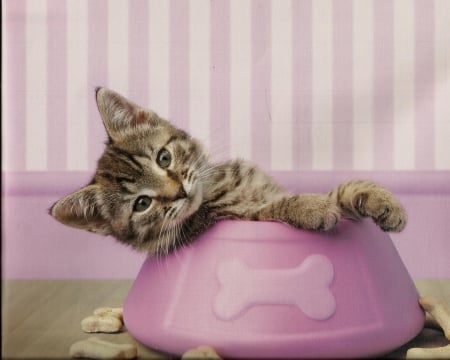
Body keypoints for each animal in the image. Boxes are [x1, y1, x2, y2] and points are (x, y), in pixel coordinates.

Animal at [50, 88, 408, 255]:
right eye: (142, 204)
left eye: (164, 158)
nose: (179, 191)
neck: (220, 184)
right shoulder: (238, 218)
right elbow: (273, 209)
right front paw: (311, 207)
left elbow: (341, 190)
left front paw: (380, 199)